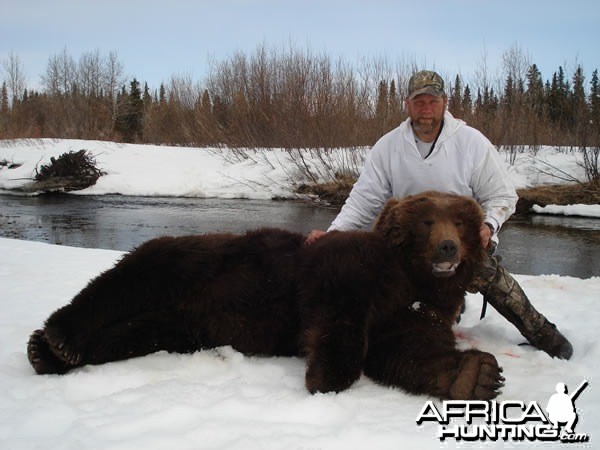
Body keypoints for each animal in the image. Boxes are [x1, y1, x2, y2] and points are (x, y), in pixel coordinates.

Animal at [25, 192, 504, 400]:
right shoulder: (346, 269)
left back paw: (47, 352)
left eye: (460, 223)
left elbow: (411, 348)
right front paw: (326, 375)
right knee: (128, 279)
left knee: (132, 333)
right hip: (195, 261)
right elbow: (338, 312)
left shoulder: (415, 310)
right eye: (428, 222)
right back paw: (58, 336)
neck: (409, 278)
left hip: (179, 326)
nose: (448, 248)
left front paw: (477, 374)